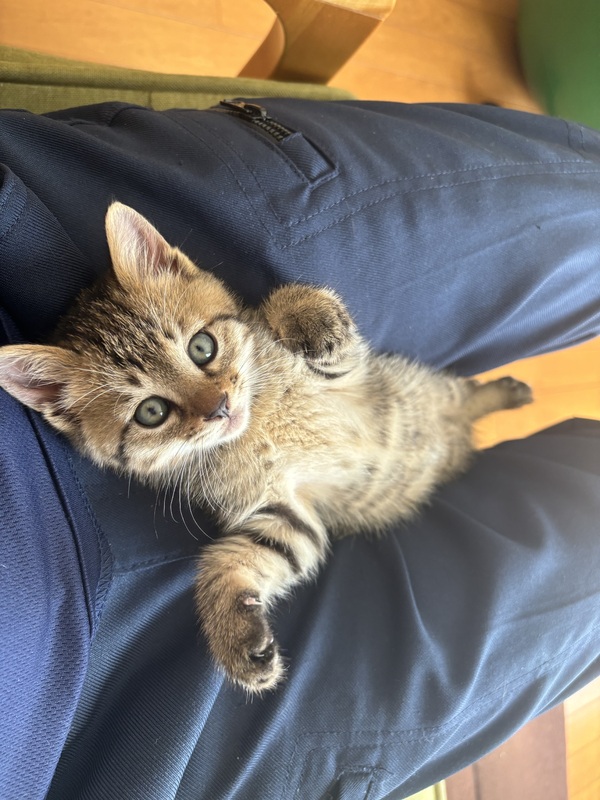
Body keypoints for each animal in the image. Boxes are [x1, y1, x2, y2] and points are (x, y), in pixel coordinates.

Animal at [0, 202, 533, 694]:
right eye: (151, 412)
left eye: (202, 347)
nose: (219, 408)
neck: (259, 425)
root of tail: (458, 439)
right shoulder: (283, 510)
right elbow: (231, 560)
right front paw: (234, 634)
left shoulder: (352, 375)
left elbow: (284, 310)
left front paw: (306, 316)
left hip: (423, 388)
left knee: (464, 394)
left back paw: (508, 392)